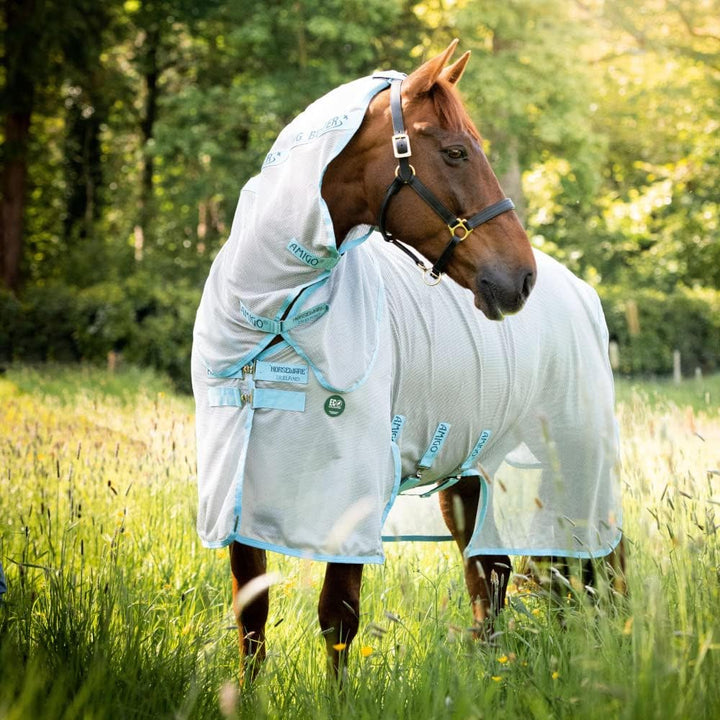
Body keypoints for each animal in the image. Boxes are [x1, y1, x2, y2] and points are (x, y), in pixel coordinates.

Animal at [191, 41, 623, 682]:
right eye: (455, 151)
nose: (520, 279)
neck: (274, 319)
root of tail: (580, 292)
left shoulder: (353, 490)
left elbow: (338, 617)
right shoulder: (237, 494)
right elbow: (252, 617)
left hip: (578, 461)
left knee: (598, 565)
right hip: (471, 478)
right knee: (490, 579)